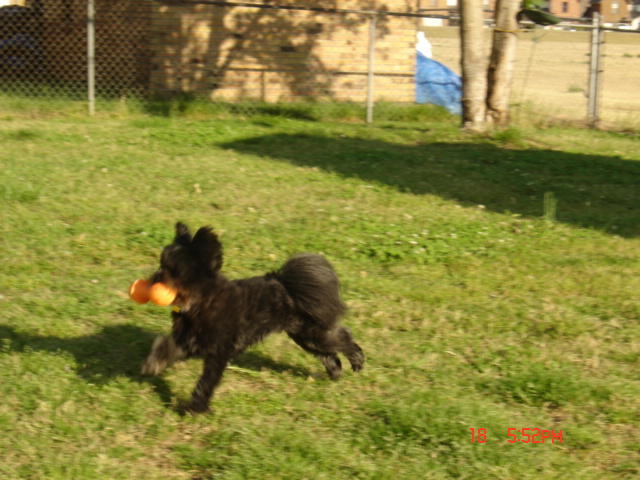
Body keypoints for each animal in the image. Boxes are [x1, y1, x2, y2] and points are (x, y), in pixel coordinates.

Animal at [144, 222, 364, 412]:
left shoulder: (218, 352)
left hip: (315, 334)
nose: (155, 279)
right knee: (329, 355)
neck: (201, 302)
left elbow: (206, 382)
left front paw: (194, 407)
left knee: (344, 338)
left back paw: (357, 361)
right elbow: (165, 346)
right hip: (305, 338)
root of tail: (289, 284)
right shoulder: (188, 341)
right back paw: (335, 372)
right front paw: (153, 364)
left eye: (175, 270)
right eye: (162, 264)